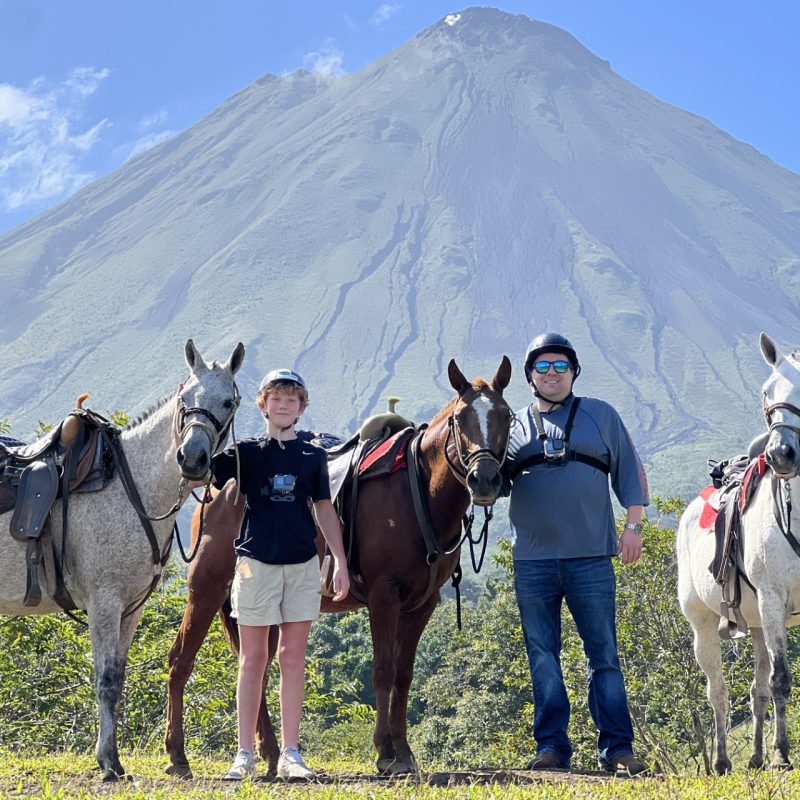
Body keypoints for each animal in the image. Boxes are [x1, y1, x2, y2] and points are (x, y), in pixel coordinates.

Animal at [0, 340, 244, 780]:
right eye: (185, 399)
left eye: (228, 401)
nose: (192, 458)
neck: (131, 486)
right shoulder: (105, 602)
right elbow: (107, 679)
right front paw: (108, 763)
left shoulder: (130, 608)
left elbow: (119, 676)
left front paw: (112, 758)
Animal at [164, 358, 512, 776]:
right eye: (460, 419)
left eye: (506, 416)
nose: (485, 478)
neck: (419, 490)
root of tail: (219, 482)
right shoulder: (384, 596)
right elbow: (384, 671)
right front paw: (384, 751)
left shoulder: (423, 604)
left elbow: (405, 675)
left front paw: (404, 750)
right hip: (206, 587)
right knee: (180, 661)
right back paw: (178, 754)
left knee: (256, 670)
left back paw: (270, 753)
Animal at [680, 332, 800, 776]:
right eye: (766, 391)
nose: (782, 454)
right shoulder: (773, 599)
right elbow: (782, 681)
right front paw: (783, 754)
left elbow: (768, 685)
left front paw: (772, 752)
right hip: (705, 624)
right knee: (719, 692)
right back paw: (723, 760)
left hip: (760, 623)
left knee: (756, 689)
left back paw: (756, 755)